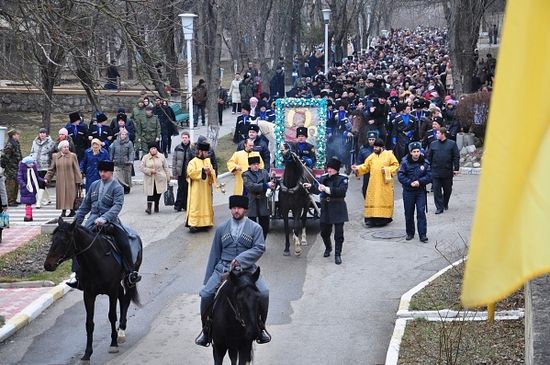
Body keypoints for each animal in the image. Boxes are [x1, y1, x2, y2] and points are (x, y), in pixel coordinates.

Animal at [44, 216, 142, 362]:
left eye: (65, 240)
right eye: (53, 239)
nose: (48, 265)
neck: (96, 261)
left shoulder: (111, 292)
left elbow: (112, 316)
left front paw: (113, 344)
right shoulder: (88, 295)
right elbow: (89, 324)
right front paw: (87, 353)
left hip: (129, 278)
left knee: (126, 300)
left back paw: (121, 331)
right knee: (122, 297)